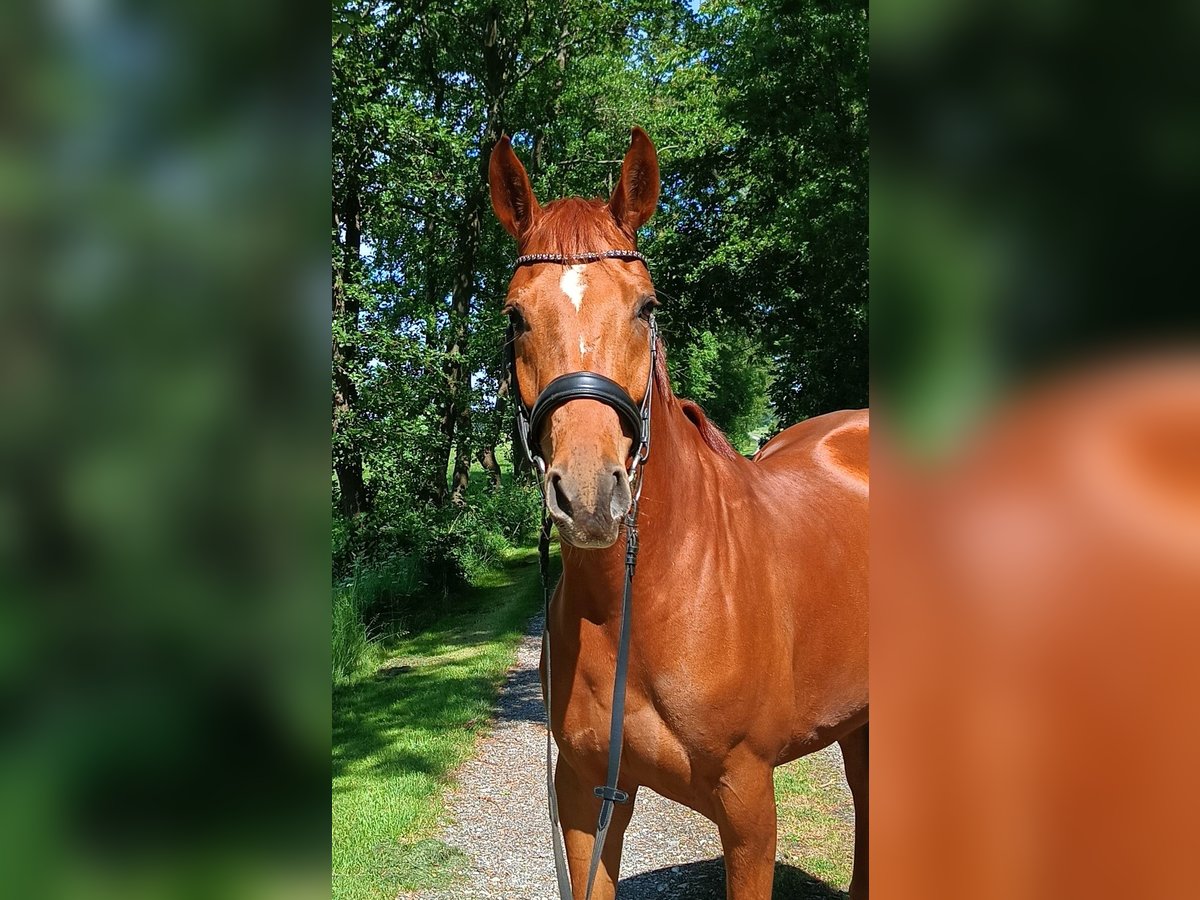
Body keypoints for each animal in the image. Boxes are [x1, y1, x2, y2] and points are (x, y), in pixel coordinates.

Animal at [489, 128, 873, 900]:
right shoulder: (584, 796)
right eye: (515, 315)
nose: (589, 496)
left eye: (646, 307)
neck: (645, 600)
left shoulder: (748, 804)